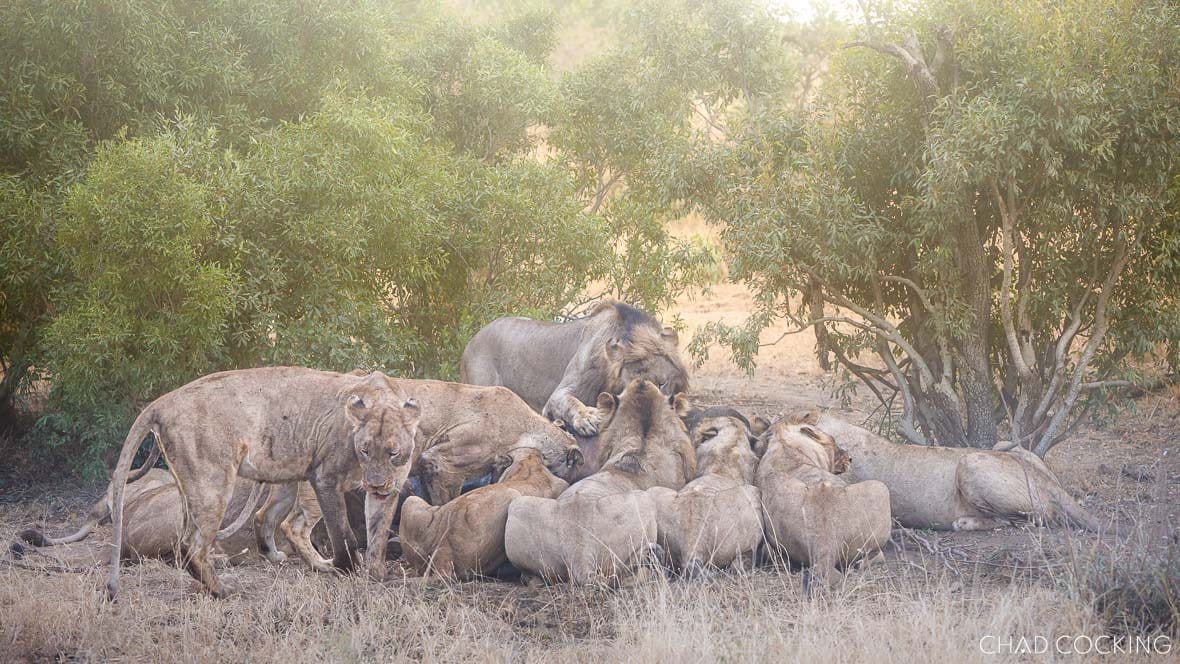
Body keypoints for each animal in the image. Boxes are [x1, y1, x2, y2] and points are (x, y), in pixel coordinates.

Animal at [104, 367, 422, 599]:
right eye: (365, 450)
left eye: (392, 453)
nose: (376, 483)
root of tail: (162, 402)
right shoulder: (325, 478)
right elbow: (343, 534)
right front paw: (347, 570)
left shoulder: (386, 490)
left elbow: (377, 533)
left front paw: (376, 574)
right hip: (213, 482)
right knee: (193, 544)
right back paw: (223, 590)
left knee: (253, 521)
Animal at [460, 301, 689, 437]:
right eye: (631, 388)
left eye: (662, 383)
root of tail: (472, 339)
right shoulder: (557, 395)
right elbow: (568, 401)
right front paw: (588, 418)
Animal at [756, 414, 892, 591]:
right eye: (833, 441)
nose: (850, 458)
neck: (785, 444)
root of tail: (826, 541)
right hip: (880, 488)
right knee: (873, 557)